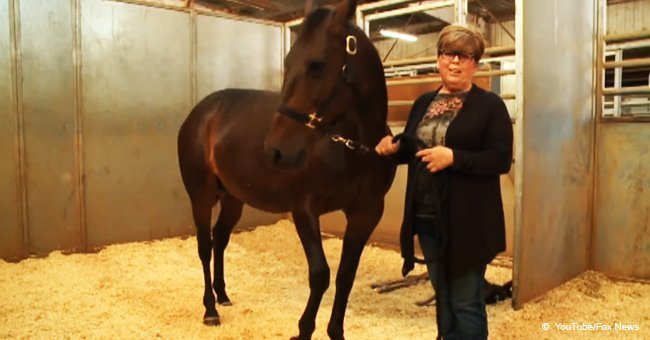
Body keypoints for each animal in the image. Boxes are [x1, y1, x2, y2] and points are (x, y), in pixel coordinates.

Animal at [175, 0, 394, 338]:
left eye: (317, 65)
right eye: (288, 63)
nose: (275, 151)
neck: (354, 149)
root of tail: (200, 113)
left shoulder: (366, 213)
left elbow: (345, 275)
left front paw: (336, 331)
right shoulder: (304, 209)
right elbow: (320, 274)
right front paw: (303, 330)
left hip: (233, 199)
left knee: (220, 238)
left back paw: (223, 295)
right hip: (201, 195)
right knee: (205, 245)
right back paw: (210, 309)